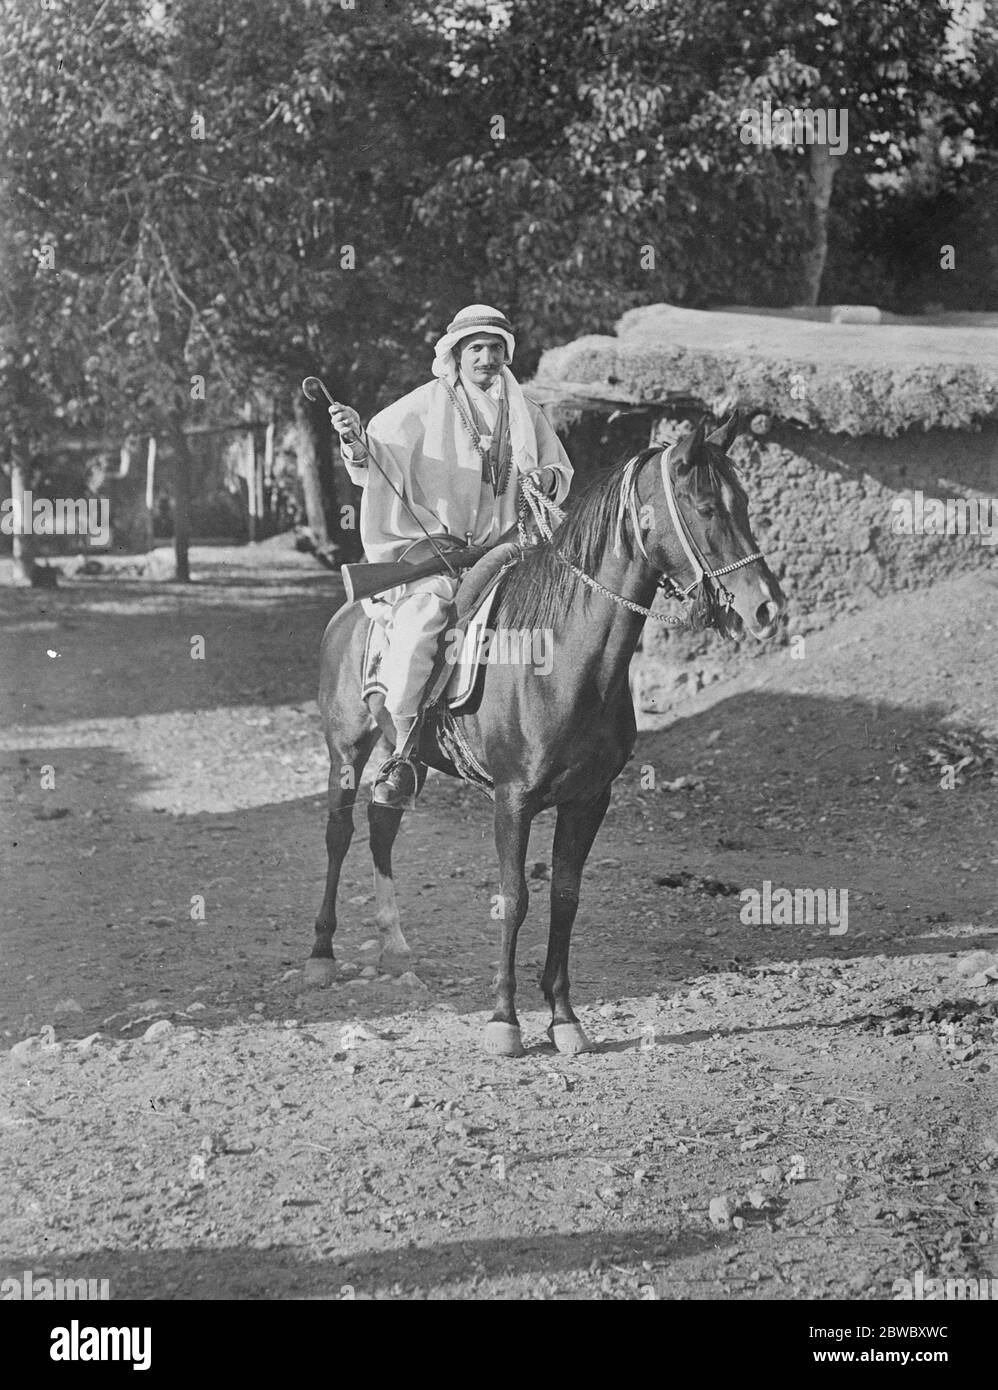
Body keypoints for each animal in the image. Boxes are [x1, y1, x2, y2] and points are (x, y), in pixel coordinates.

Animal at [303, 417, 783, 1056]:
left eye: (745, 503)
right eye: (705, 507)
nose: (766, 608)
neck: (563, 659)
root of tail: (348, 614)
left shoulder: (588, 801)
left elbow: (564, 900)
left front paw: (563, 1017)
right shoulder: (512, 802)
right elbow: (515, 899)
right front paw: (504, 1020)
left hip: (408, 759)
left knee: (383, 825)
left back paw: (396, 948)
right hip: (346, 750)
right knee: (338, 834)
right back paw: (321, 953)